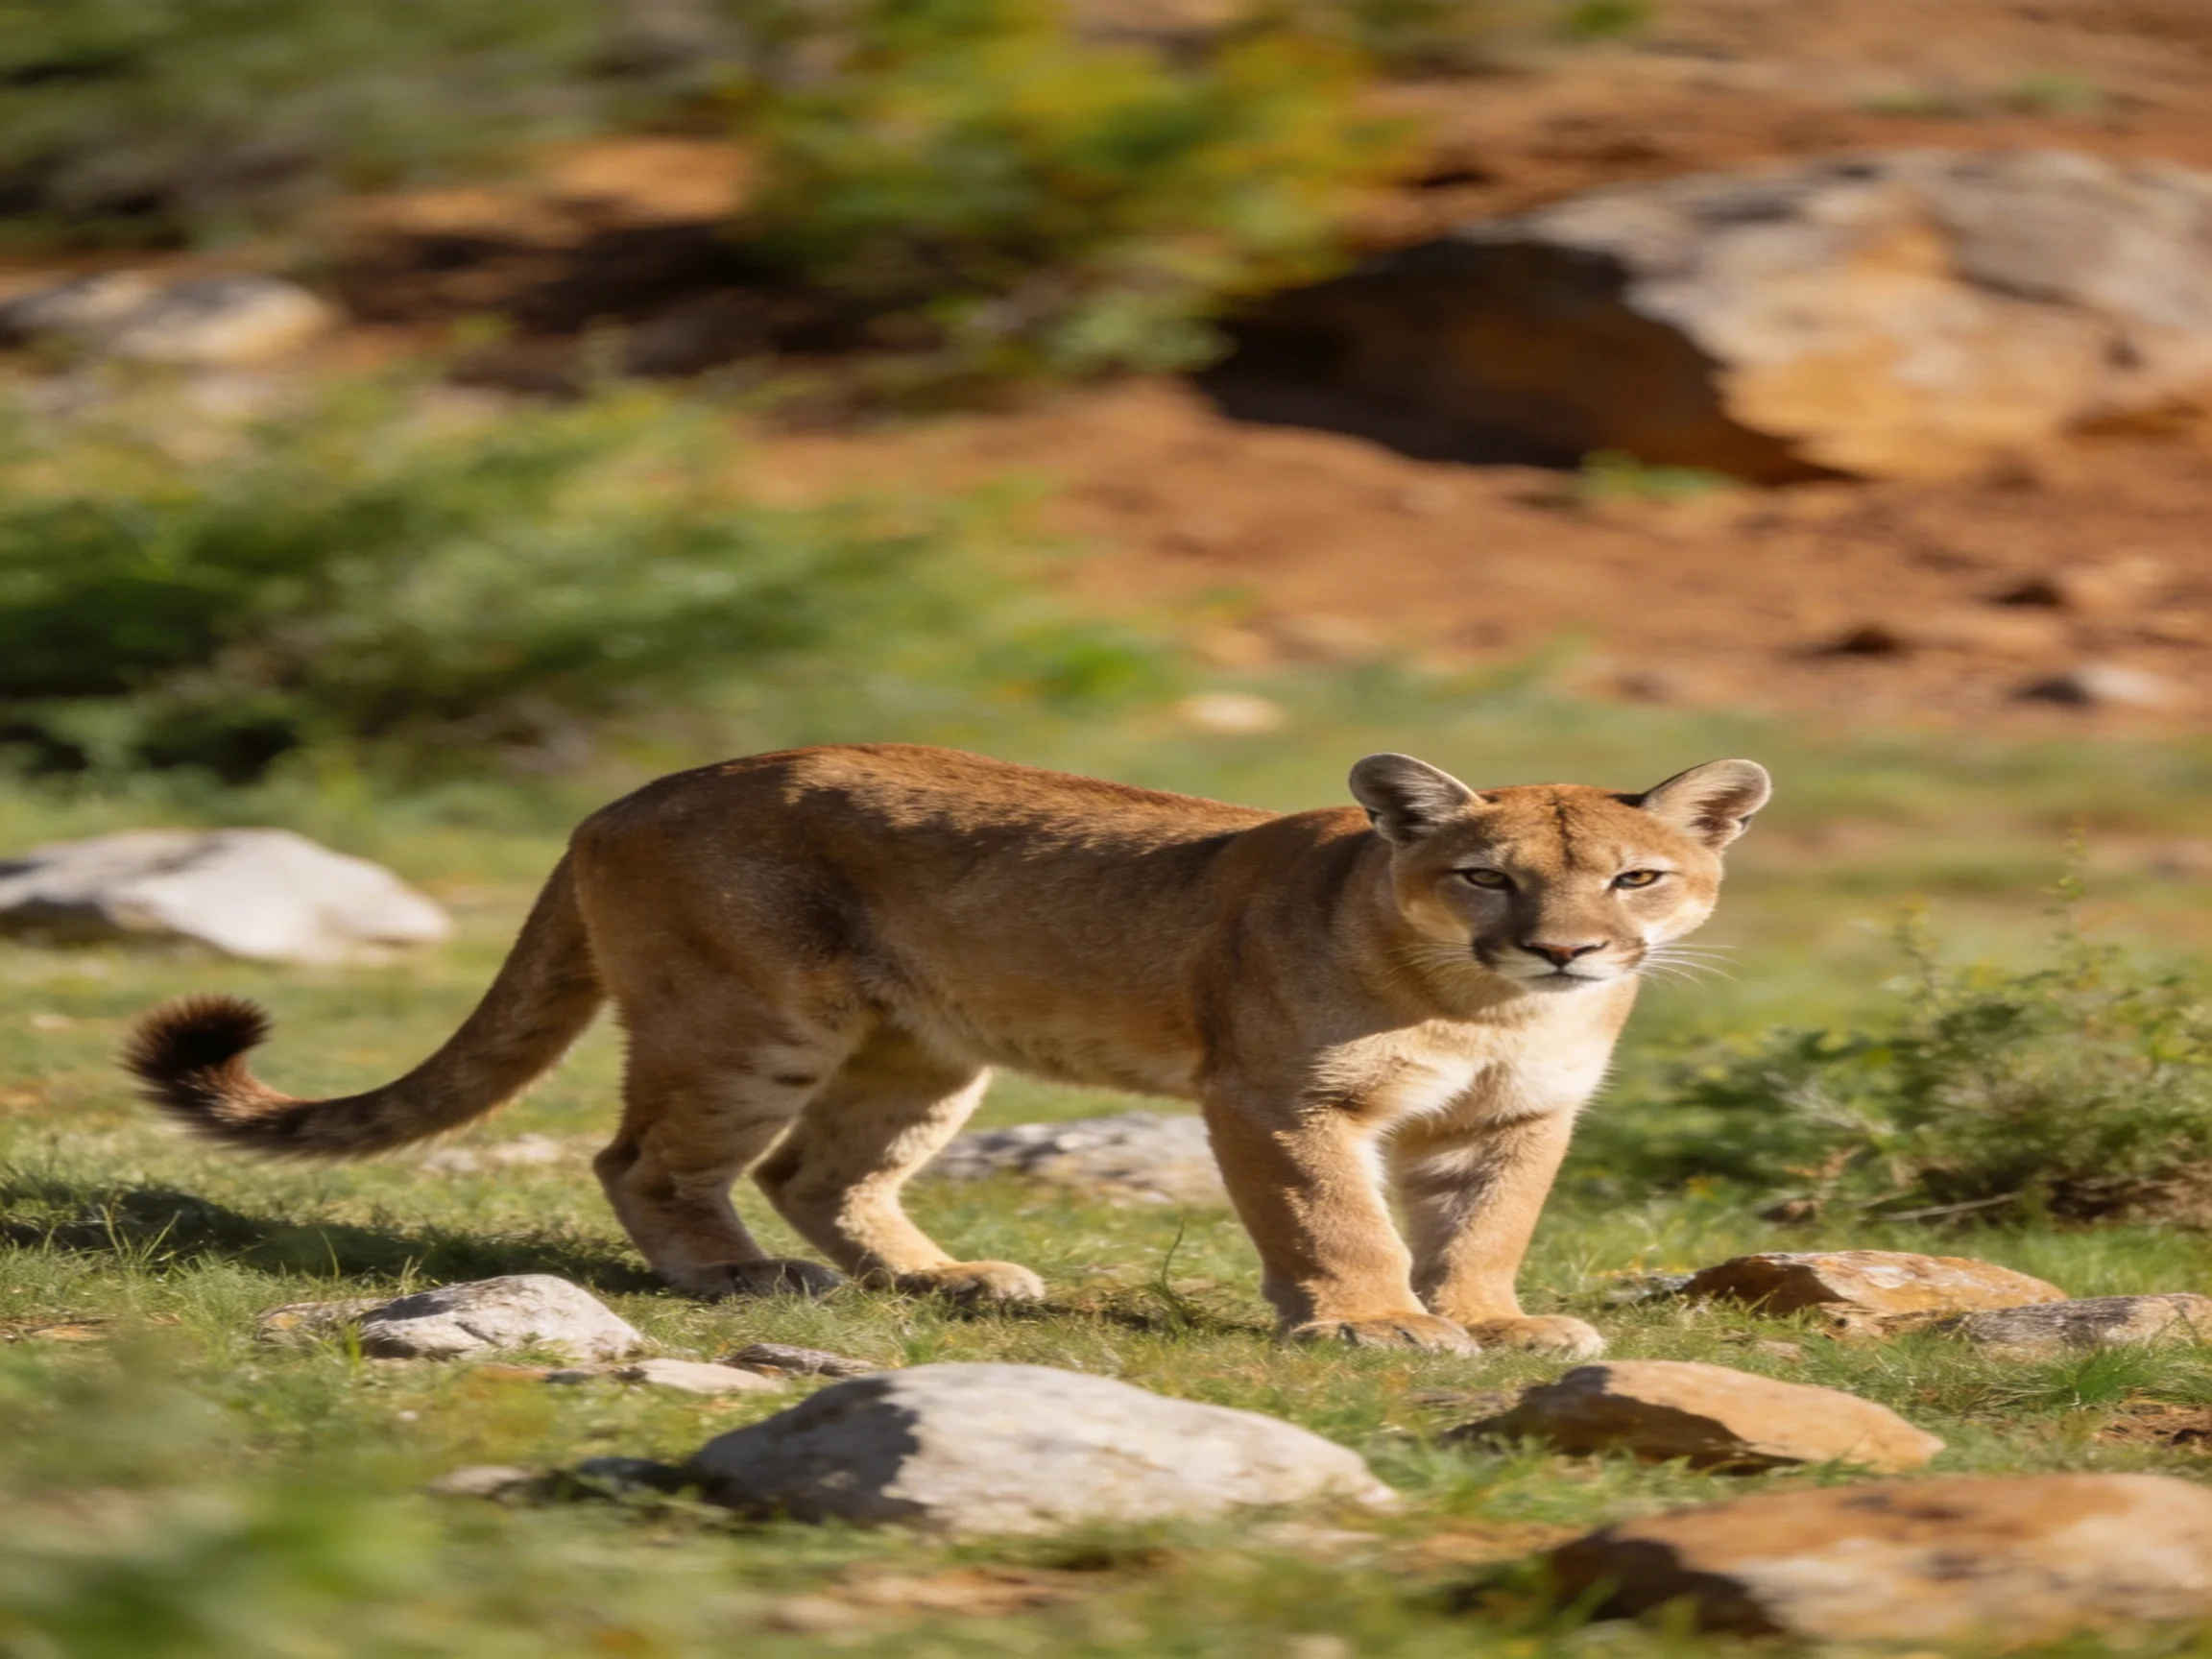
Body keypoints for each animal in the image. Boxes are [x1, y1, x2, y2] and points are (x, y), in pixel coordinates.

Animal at [124, 744, 1768, 1355]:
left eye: (1636, 878)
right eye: (1486, 876)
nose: (1568, 949)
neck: (1489, 1008)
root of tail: (626, 791)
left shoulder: (1517, 1118)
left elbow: (1485, 1225)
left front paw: (1494, 1321)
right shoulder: (1278, 1099)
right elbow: (1334, 1218)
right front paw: (1375, 1322)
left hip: (917, 1046)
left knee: (816, 1171)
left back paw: (941, 1279)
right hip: (755, 1019)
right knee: (648, 1156)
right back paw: (738, 1282)